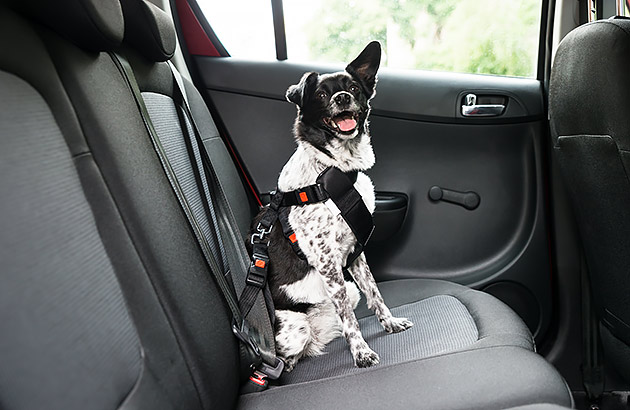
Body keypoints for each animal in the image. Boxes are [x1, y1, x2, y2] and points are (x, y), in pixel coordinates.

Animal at [254, 41, 412, 372]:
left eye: (353, 88)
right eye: (322, 95)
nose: (342, 98)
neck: (333, 169)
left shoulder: (355, 252)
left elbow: (374, 293)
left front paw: (389, 323)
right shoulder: (327, 262)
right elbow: (351, 322)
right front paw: (361, 353)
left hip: (347, 291)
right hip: (297, 328)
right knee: (288, 356)